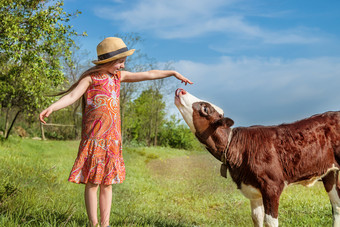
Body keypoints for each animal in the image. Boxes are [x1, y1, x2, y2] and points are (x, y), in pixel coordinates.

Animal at [175, 88, 340, 226]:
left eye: (205, 108)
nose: (181, 89)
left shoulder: (272, 185)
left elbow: (270, 221)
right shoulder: (253, 190)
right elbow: (256, 218)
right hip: (330, 173)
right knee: (337, 206)